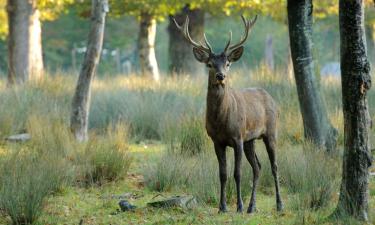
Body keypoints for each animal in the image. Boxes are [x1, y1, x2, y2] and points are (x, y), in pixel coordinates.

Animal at [175, 15, 284, 213]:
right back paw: (252, 207)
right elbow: (223, 174)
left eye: (228, 64)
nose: (221, 76)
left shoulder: (237, 137)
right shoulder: (217, 141)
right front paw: (222, 207)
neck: (221, 122)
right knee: (258, 167)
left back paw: (279, 205)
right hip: (250, 140)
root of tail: (271, 98)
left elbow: (237, 173)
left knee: (274, 166)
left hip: (271, 132)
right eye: (210, 64)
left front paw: (238, 206)